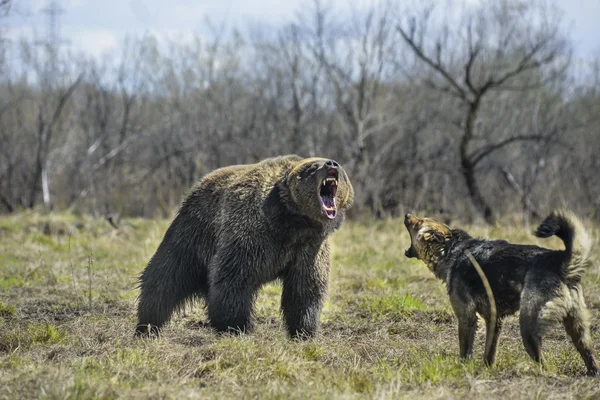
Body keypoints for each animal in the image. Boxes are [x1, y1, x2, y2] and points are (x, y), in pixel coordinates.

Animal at [134, 155, 354, 340]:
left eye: (337, 165)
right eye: (312, 168)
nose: (332, 164)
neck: (291, 223)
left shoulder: (310, 248)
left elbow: (305, 288)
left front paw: (304, 331)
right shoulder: (252, 233)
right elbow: (234, 278)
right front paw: (236, 326)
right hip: (193, 233)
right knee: (165, 276)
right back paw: (147, 325)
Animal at [406, 209, 596, 376]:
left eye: (419, 222)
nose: (407, 215)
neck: (451, 249)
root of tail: (560, 261)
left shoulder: (466, 317)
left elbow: (465, 349)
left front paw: (463, 368)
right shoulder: (494, 320)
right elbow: (489, 352)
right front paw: (486, 369)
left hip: (528, 329)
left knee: (544, 363)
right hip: (578, 329)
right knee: (589, 355)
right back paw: (592, 373)